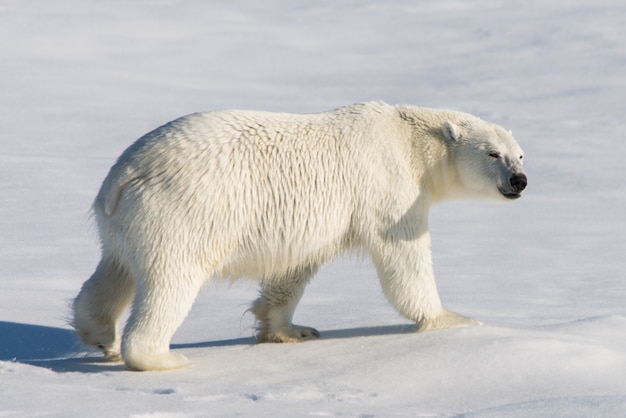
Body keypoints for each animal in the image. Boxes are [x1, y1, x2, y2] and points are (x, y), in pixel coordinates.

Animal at [72, 101, 528, 370]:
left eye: (521, 154)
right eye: (493, 153)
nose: (519, 180)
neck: (409, 138)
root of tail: (125, 175)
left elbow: (292, 271)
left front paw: (292, 331)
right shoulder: (387, 185)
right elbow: (404, 257)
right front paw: (453, 319)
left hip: (125, 223)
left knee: (112, 273)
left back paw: (101, 336)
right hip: (183, 214)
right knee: (170, 282)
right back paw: (161, 358)